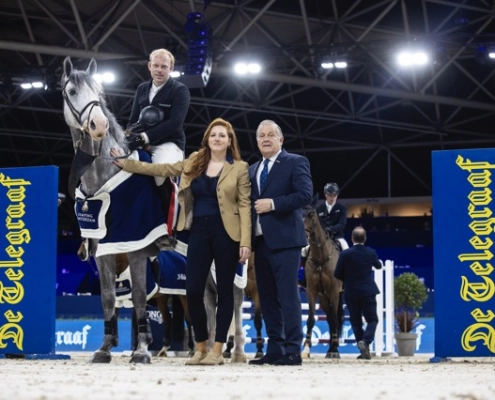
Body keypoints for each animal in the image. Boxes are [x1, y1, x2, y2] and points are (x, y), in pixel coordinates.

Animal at [61, 57, 170, 362]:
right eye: (72, 91)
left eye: (100, 93)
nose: (98, 124)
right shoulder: (103, 248)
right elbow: (109, 297)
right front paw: (105, 347)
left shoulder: (136, 245)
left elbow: (140, 296)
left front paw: (142, 350)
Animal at [302, 202, 344, 358]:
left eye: (311, 214)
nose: (304, 235)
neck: (320, 257)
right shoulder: (312, 291)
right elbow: (310, 319)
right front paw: (306, 349)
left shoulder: (334, 291)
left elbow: (335, 319)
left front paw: (335, 350)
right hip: (324, 297)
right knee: (330, 319)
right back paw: (330, 348)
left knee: (334, 318)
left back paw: (333, 348)